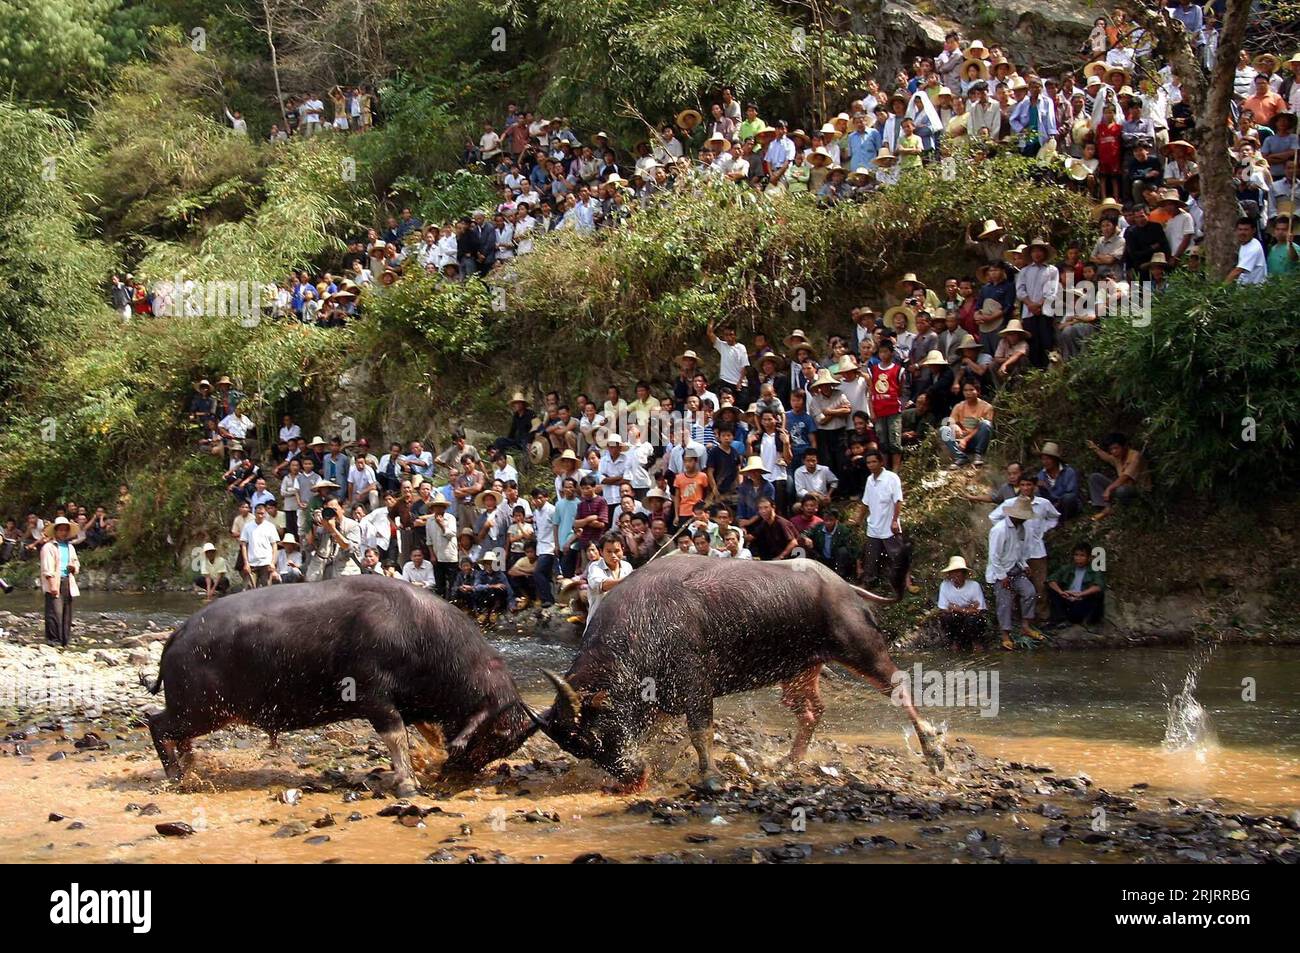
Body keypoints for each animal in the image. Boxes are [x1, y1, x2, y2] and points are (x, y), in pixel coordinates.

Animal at [147, 577, 538, 790]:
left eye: (509, 744)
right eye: (498, 733)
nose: (457, 775)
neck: (421, 637)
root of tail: (179, 633)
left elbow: (427, 732)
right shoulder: (375, 698)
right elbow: (395, 735)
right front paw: (408, 784)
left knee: (174, 734)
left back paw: (190, 765)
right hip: (201, 709)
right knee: (156, 723)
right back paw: (178, 776)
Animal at [527, 556, 946, 790]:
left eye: (596, 735)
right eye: (577, 747)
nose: (633, 778)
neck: (643, 625)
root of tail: (842, 586)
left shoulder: (696, 684)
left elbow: (700, 731)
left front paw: (710, 776)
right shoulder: (659, 702)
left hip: (861, 648)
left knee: (898, 687)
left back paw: (933, 749)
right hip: (798, 670)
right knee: (811, 711)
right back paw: (788, 760)